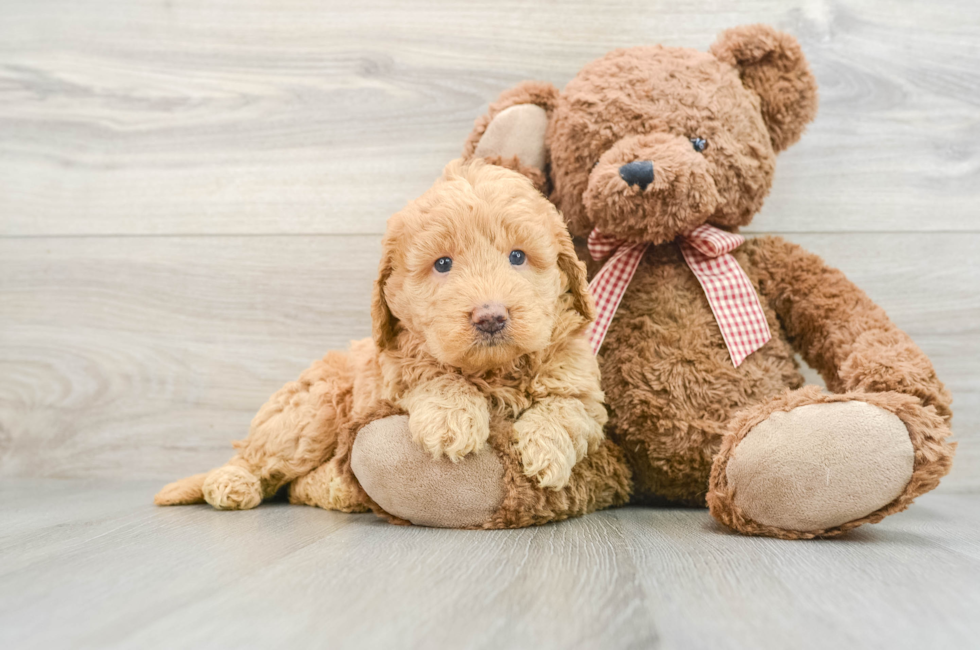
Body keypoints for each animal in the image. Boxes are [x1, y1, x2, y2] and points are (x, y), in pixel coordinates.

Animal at [155, 158, 604, 512]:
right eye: (443, 264)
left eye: (517, 257)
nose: (490, 317)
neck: (493, 371)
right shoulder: (396, 368)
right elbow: (435, 374)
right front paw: (452, 421)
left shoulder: (580, 385)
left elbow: (567, 408)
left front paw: (546, 451)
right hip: (311, 412)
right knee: (259, 459)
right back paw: (231, 483)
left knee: (297, 485)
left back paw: (337, 490)